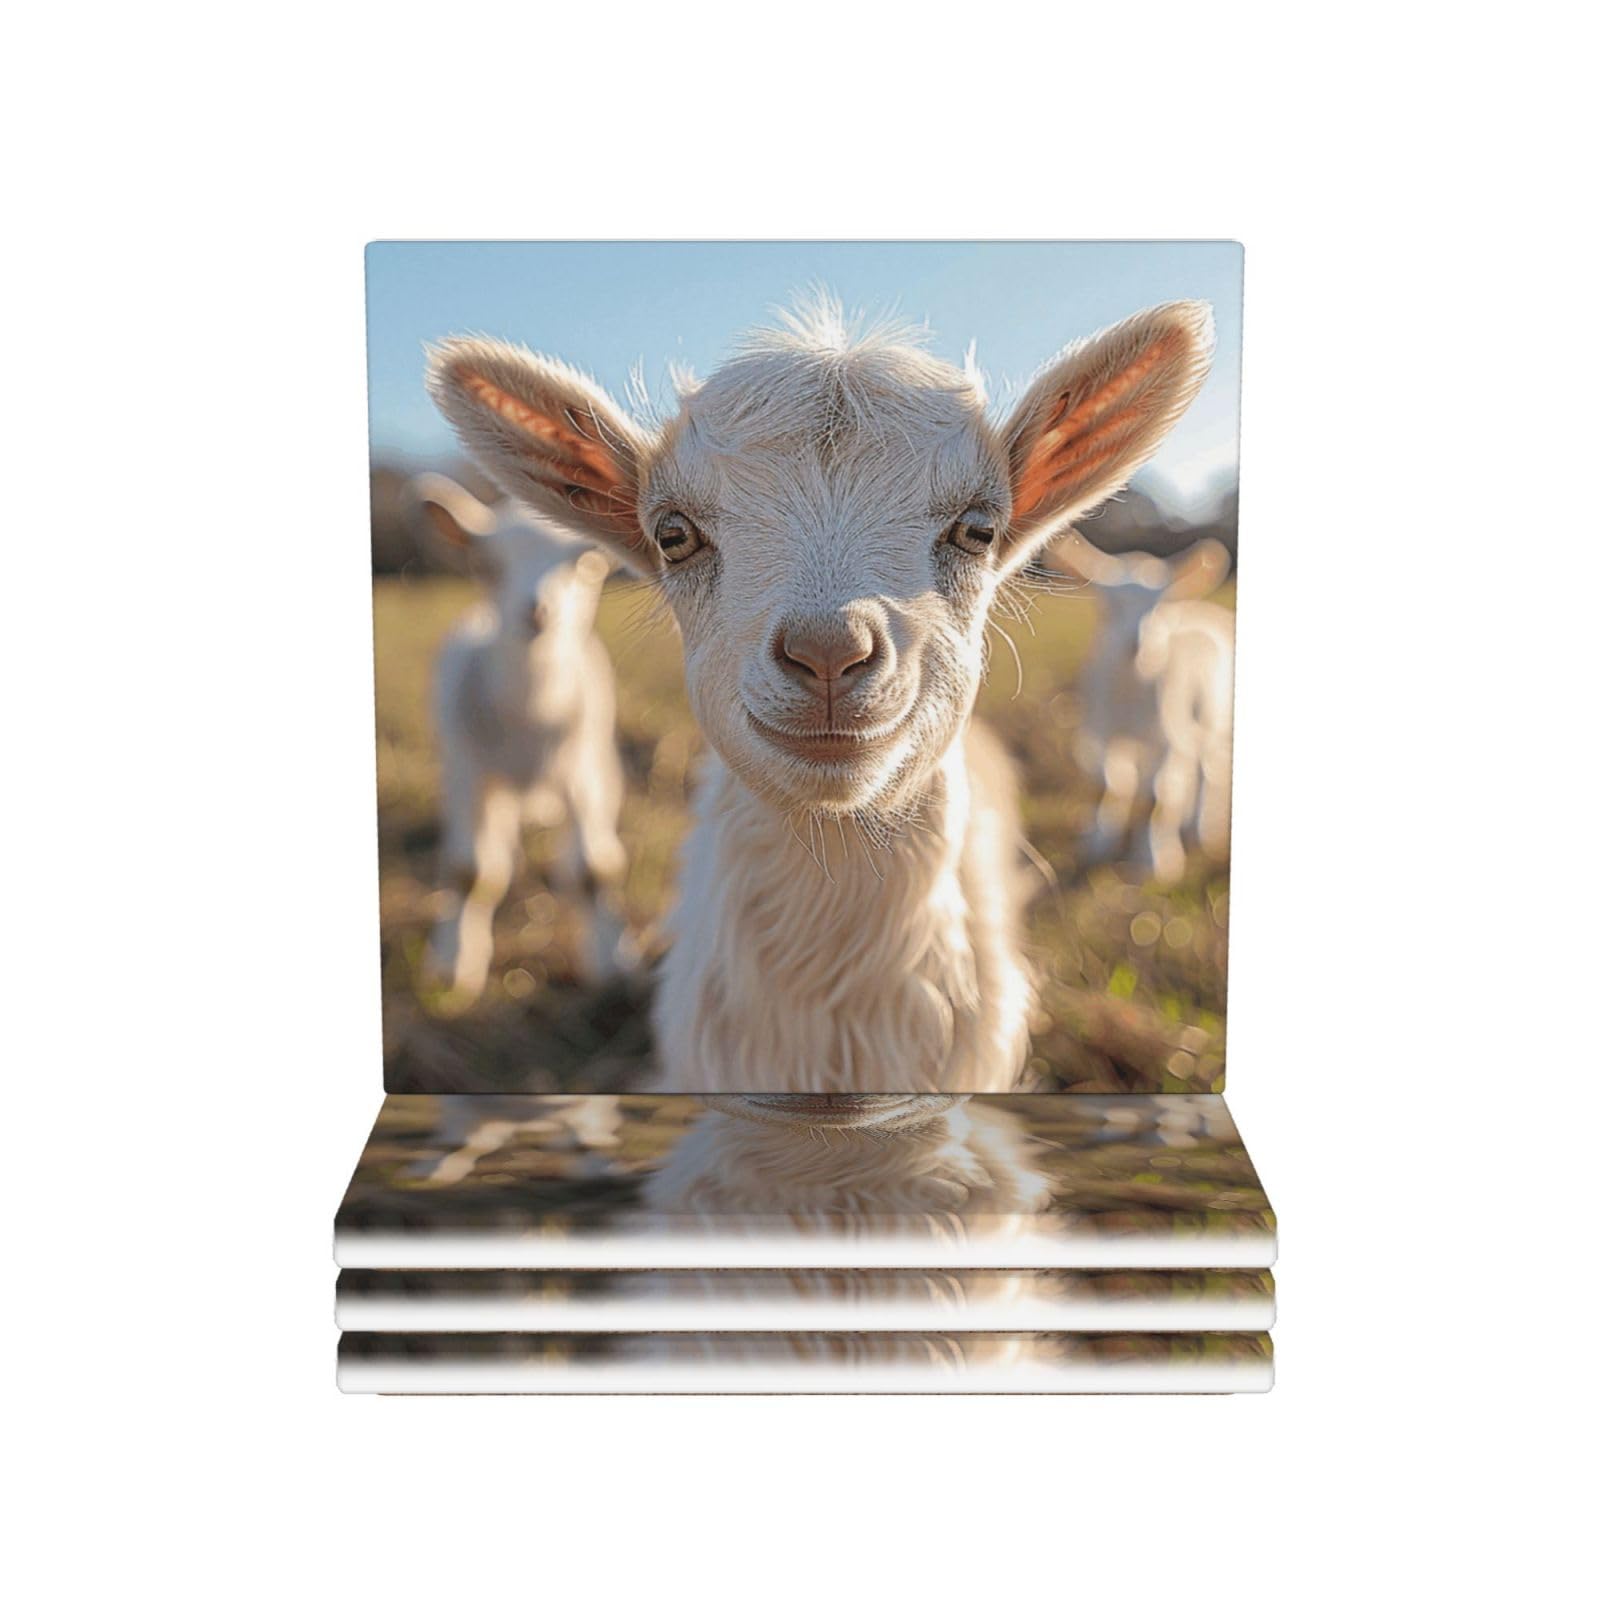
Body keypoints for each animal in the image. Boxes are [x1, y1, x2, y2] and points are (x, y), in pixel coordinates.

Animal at [409, 474, 630, 1000]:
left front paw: (609, 963)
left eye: (587, 564)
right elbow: (467, 870)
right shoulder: (469, 771)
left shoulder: (578, 771)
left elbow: (592, 871)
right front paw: (455, 966)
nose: (537, 611)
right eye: (485, 564)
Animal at [1053, 530, 1234, 881]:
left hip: (1208, 717)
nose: (1136, 645)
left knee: (1208, 766)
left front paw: (1152, 859)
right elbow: (1111, 782)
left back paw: (1201, 829)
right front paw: (1098, 841)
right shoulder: (1099, 729)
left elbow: (1155, 794)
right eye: (1107, 608)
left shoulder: (1165, 735)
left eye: (1159, 607)